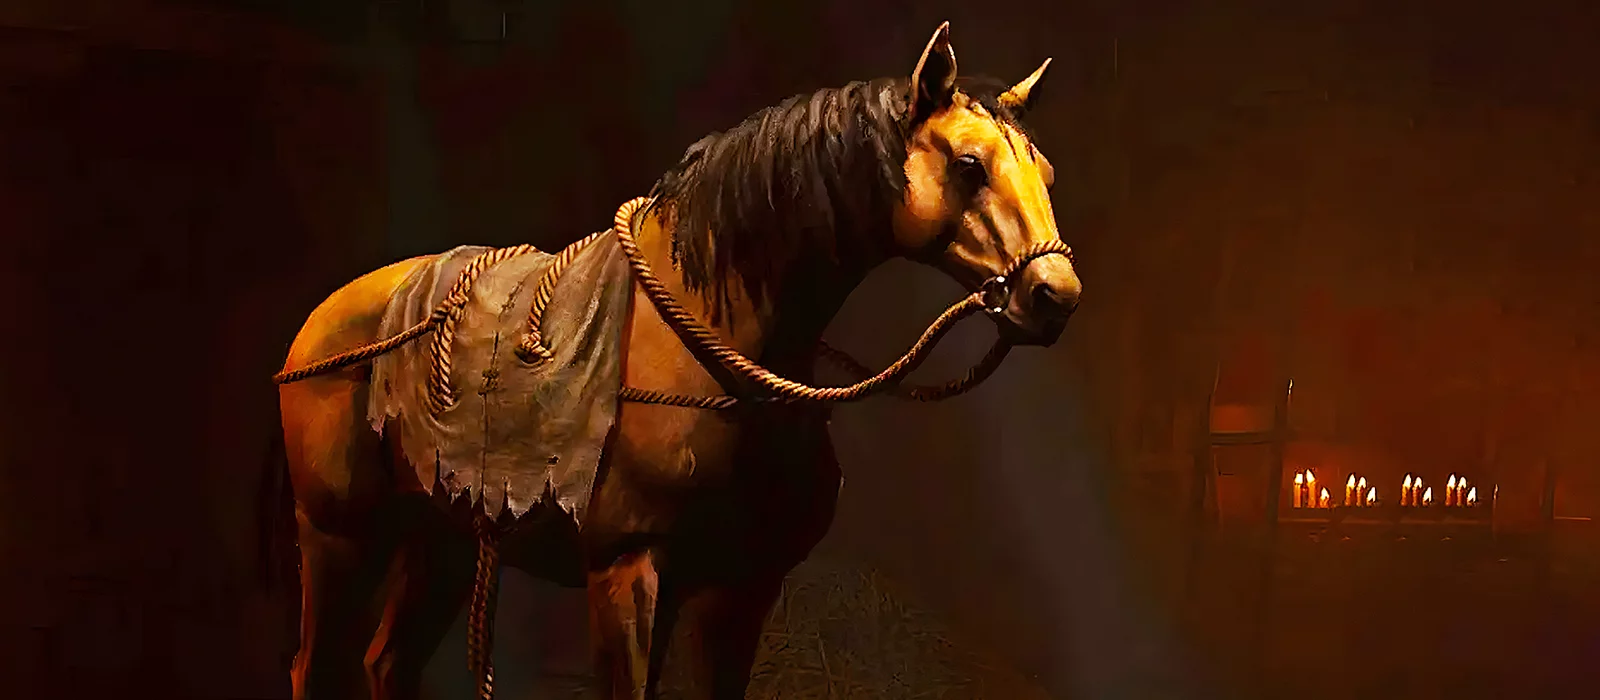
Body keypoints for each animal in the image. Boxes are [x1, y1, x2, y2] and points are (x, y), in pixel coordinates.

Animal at [273, 21, 1081, 700]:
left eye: (1044, 172)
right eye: (970, 165)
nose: (1055, 295)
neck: (716, 350)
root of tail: (320, 323)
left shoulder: (740, 588)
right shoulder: (627, 571)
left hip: (436, 539)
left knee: (388, 664)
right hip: (337, 538)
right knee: (317, 668)